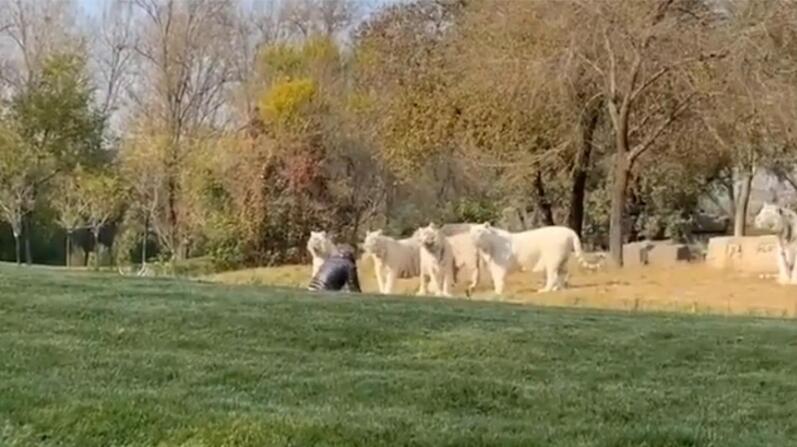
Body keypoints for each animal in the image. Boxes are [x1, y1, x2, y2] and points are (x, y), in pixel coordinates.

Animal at [470, 223, 600, 294]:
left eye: (479, 231)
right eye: (472, 231)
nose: (472, 237)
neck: (486, 247)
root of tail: (570, 231)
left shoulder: (499, 266)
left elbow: (498, 278)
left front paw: (497, 292)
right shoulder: (493, 265)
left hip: (552, 259)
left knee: (552, 275)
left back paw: (545, 290)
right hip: (563, 259)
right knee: (562, 273)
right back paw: (557, 288)